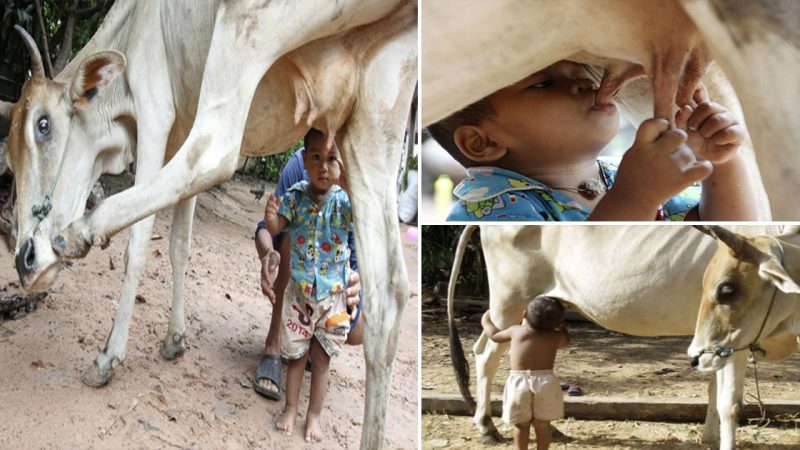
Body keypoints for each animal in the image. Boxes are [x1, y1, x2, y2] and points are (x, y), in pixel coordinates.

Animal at [3, 2, 418, 446]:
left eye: (43, 124)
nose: (25, 261)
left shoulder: (156, 114)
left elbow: (140, 243)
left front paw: (109, 357)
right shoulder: (179, 125)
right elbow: (179, 243)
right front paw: (175, 340)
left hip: (246, 29)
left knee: (213, 151)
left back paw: (78, 232)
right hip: (375, 114)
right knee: (389, 294)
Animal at [450, 224, 792, 450]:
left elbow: (713, 388)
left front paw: (709, 437)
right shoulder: (736, 335)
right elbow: (728, 399)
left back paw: (551, 430)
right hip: (509, 301)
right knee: (486, 355)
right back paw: (486, 427)